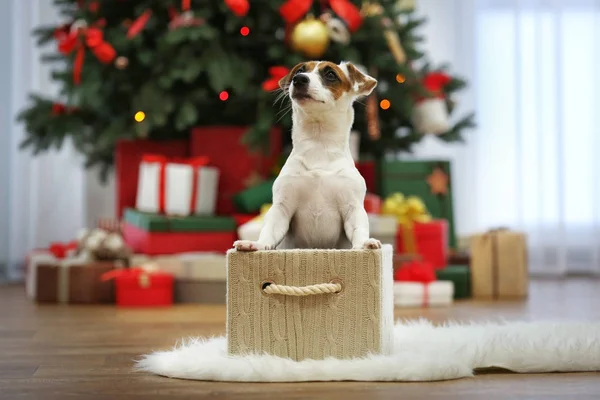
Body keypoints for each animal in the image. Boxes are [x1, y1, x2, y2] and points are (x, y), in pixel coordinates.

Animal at [233, 61, 380, 252]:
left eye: (331, 74)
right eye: (300, 70)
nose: (299, 79)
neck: (318, 145)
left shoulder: (352, 208)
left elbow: (359, 229)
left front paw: (363, 244)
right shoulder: (282, 208)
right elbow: (269, 230)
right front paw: (257, 244)